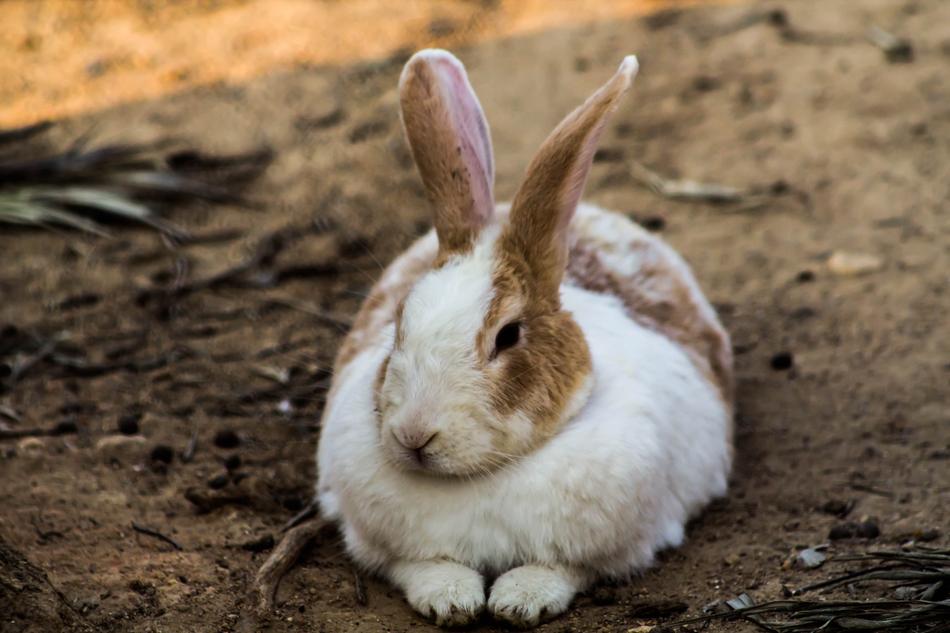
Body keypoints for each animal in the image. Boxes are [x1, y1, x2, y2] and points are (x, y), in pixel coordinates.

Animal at [316, 49, 734, 628]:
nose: (414, 436)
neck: (484, 477)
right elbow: (424, 566)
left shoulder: (613, 547)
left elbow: (559, 569)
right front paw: (451, 600)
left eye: (508, 335)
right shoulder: (388, 546)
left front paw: (519, 602)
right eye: (399, 323)